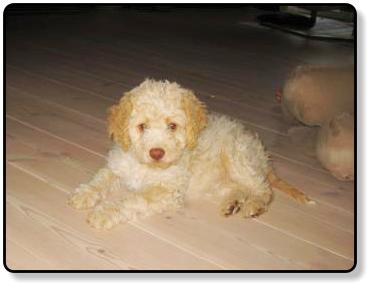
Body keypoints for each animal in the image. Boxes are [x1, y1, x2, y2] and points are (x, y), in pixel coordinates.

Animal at [69, 79, 310, 230]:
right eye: (142, 126)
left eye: (172, 126)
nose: (157, 153)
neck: (147, 167)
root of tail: (262, 156)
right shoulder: (118, 166)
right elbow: (101, 179)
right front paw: (84, 194)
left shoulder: (166, 191)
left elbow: (132, 199)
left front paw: (104, 212)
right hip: (221, 181)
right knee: (239, 188)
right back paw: (232, 204)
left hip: (239, 159)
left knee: (263, 189)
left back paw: (253, 206)